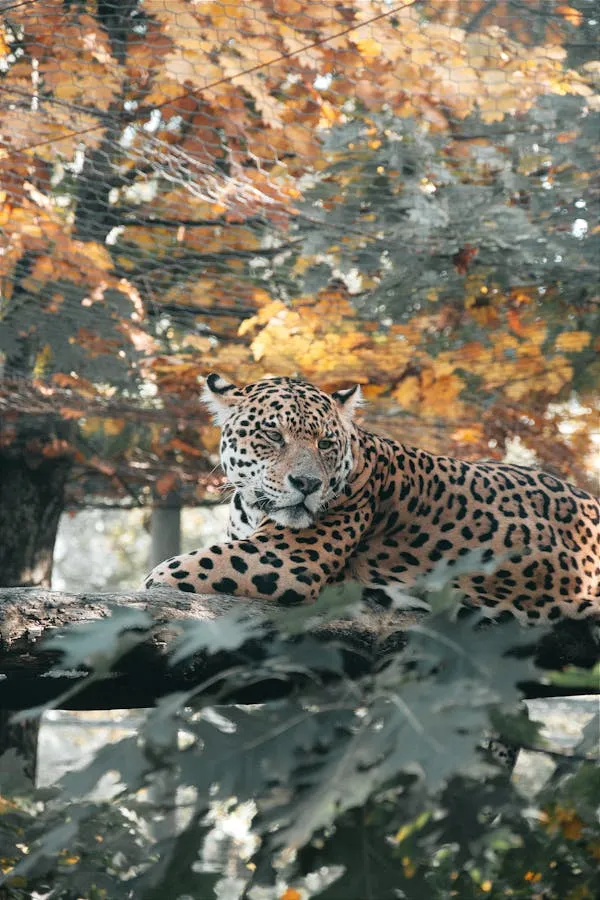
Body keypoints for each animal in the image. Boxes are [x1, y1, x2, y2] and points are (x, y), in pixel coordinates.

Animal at [144, 374, 600, 627]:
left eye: (325, 443)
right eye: (273, 435)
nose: (307, 483)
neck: (252, 506)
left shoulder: (283, 558)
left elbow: (163, 573)